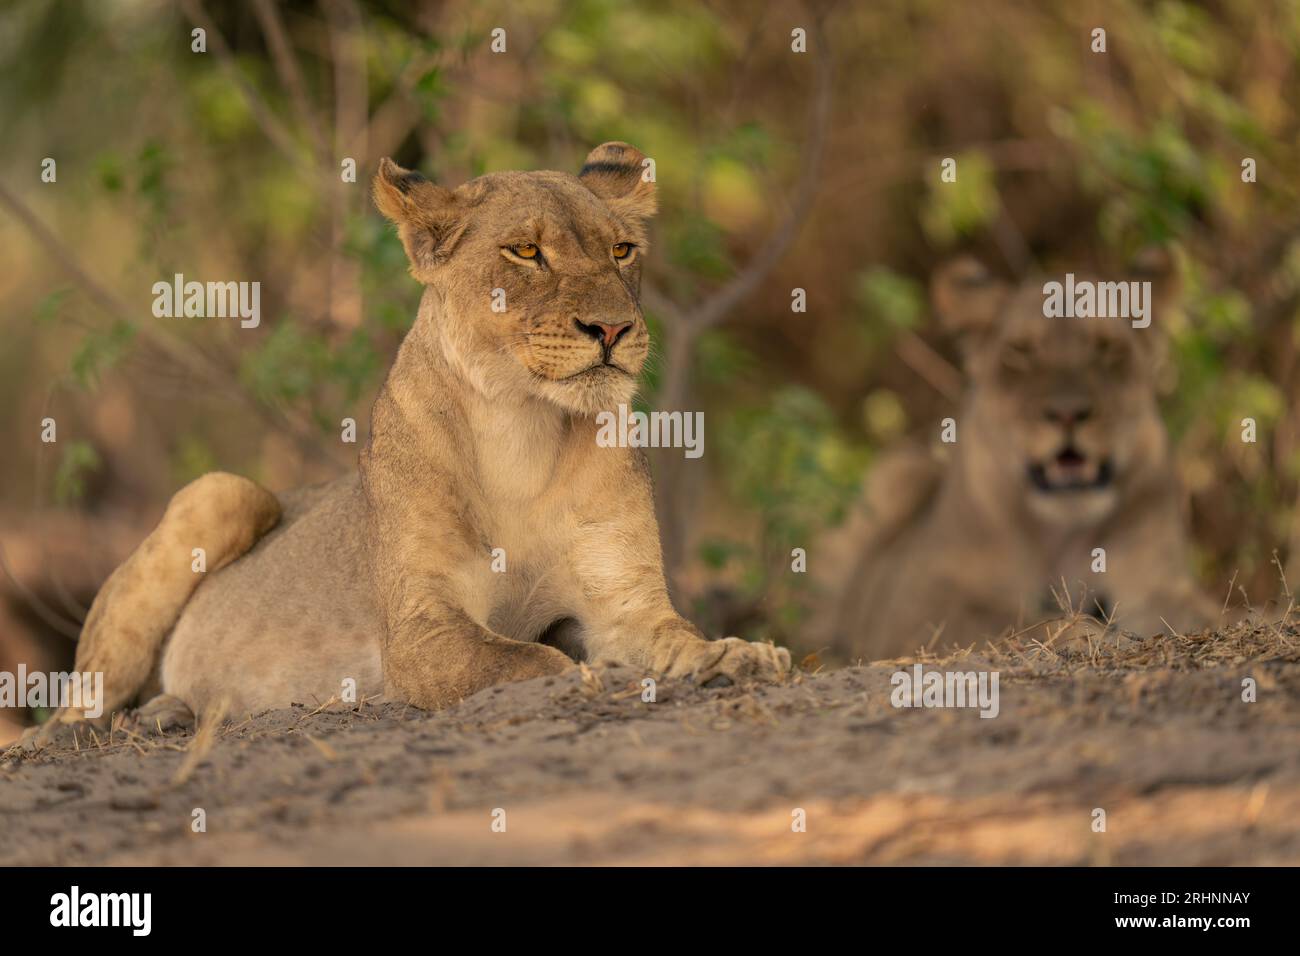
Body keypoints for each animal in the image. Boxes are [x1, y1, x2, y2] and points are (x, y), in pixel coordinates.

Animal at [28, 143, 789, 740]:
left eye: (621, 250)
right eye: (526, 251)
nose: (613, 329)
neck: (524, 430)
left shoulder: (623, 601)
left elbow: (673, 634)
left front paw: (735, 654)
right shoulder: (421, 627)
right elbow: (523, 659)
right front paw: (584, 674)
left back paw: (172, 712)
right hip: (222, 492)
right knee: (78, 702)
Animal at [811, 255, 1215, 661]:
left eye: (1107, 348)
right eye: (1020, 352)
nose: (1068, 413)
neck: (1061, 534)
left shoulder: (1158, 584)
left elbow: (1201, 610)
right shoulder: (912, 607)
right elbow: (1012, 620)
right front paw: (1088, 633)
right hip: (896, 474)